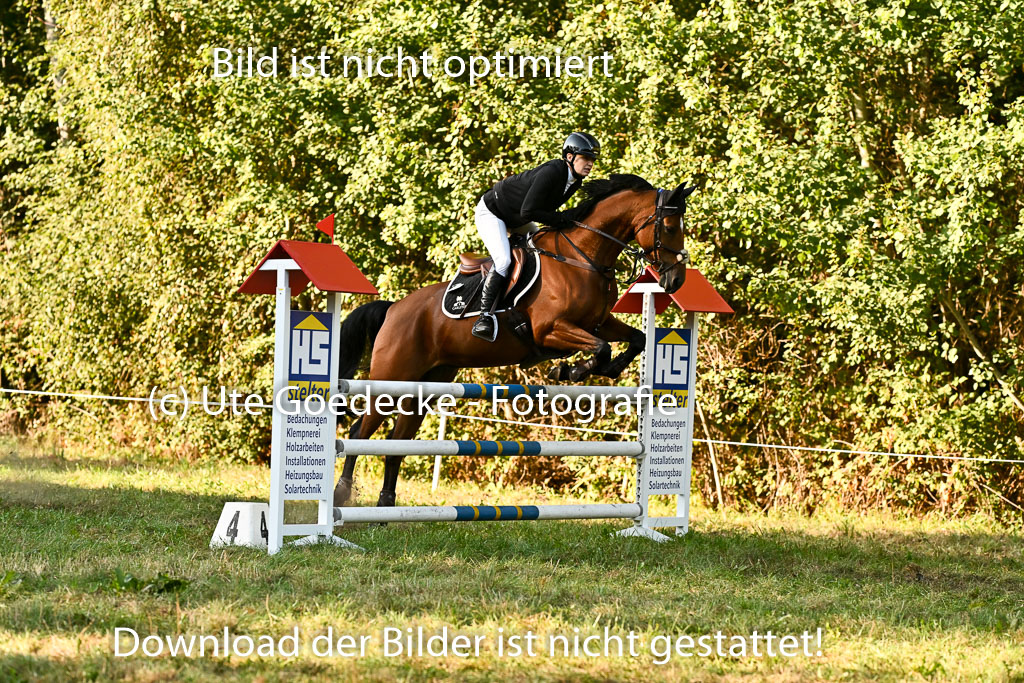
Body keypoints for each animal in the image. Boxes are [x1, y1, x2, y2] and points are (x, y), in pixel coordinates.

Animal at [334, 174, 695, 508]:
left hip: (425, 387)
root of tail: (393, 308)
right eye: (669, 226)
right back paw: (342, 494)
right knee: (360, 432)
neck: (583, 258)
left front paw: (603, 370)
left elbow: (637, 339)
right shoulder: (550, 329)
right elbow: (600, 348)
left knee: (397, 441)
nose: (676, 280)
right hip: (391, 379)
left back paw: (386, 504)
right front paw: (572, 371)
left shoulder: (600, 322)